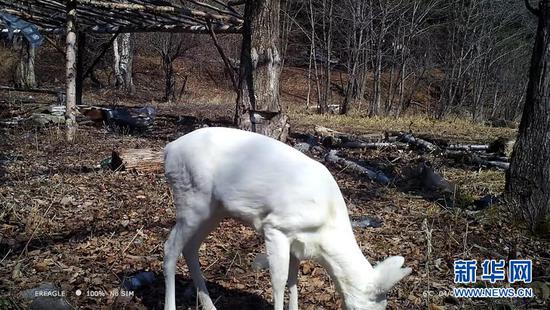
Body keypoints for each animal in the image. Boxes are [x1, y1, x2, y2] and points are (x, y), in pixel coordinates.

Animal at [162, 127, 412, 308]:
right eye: (377, 306)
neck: (325, 233)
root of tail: (168, 149)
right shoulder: (276, 226)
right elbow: (279, 282)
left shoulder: (298, 242)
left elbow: (293, 282)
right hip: (191, 198)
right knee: (170, 247)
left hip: (214, 210)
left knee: (190, 248)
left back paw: (210, 305)